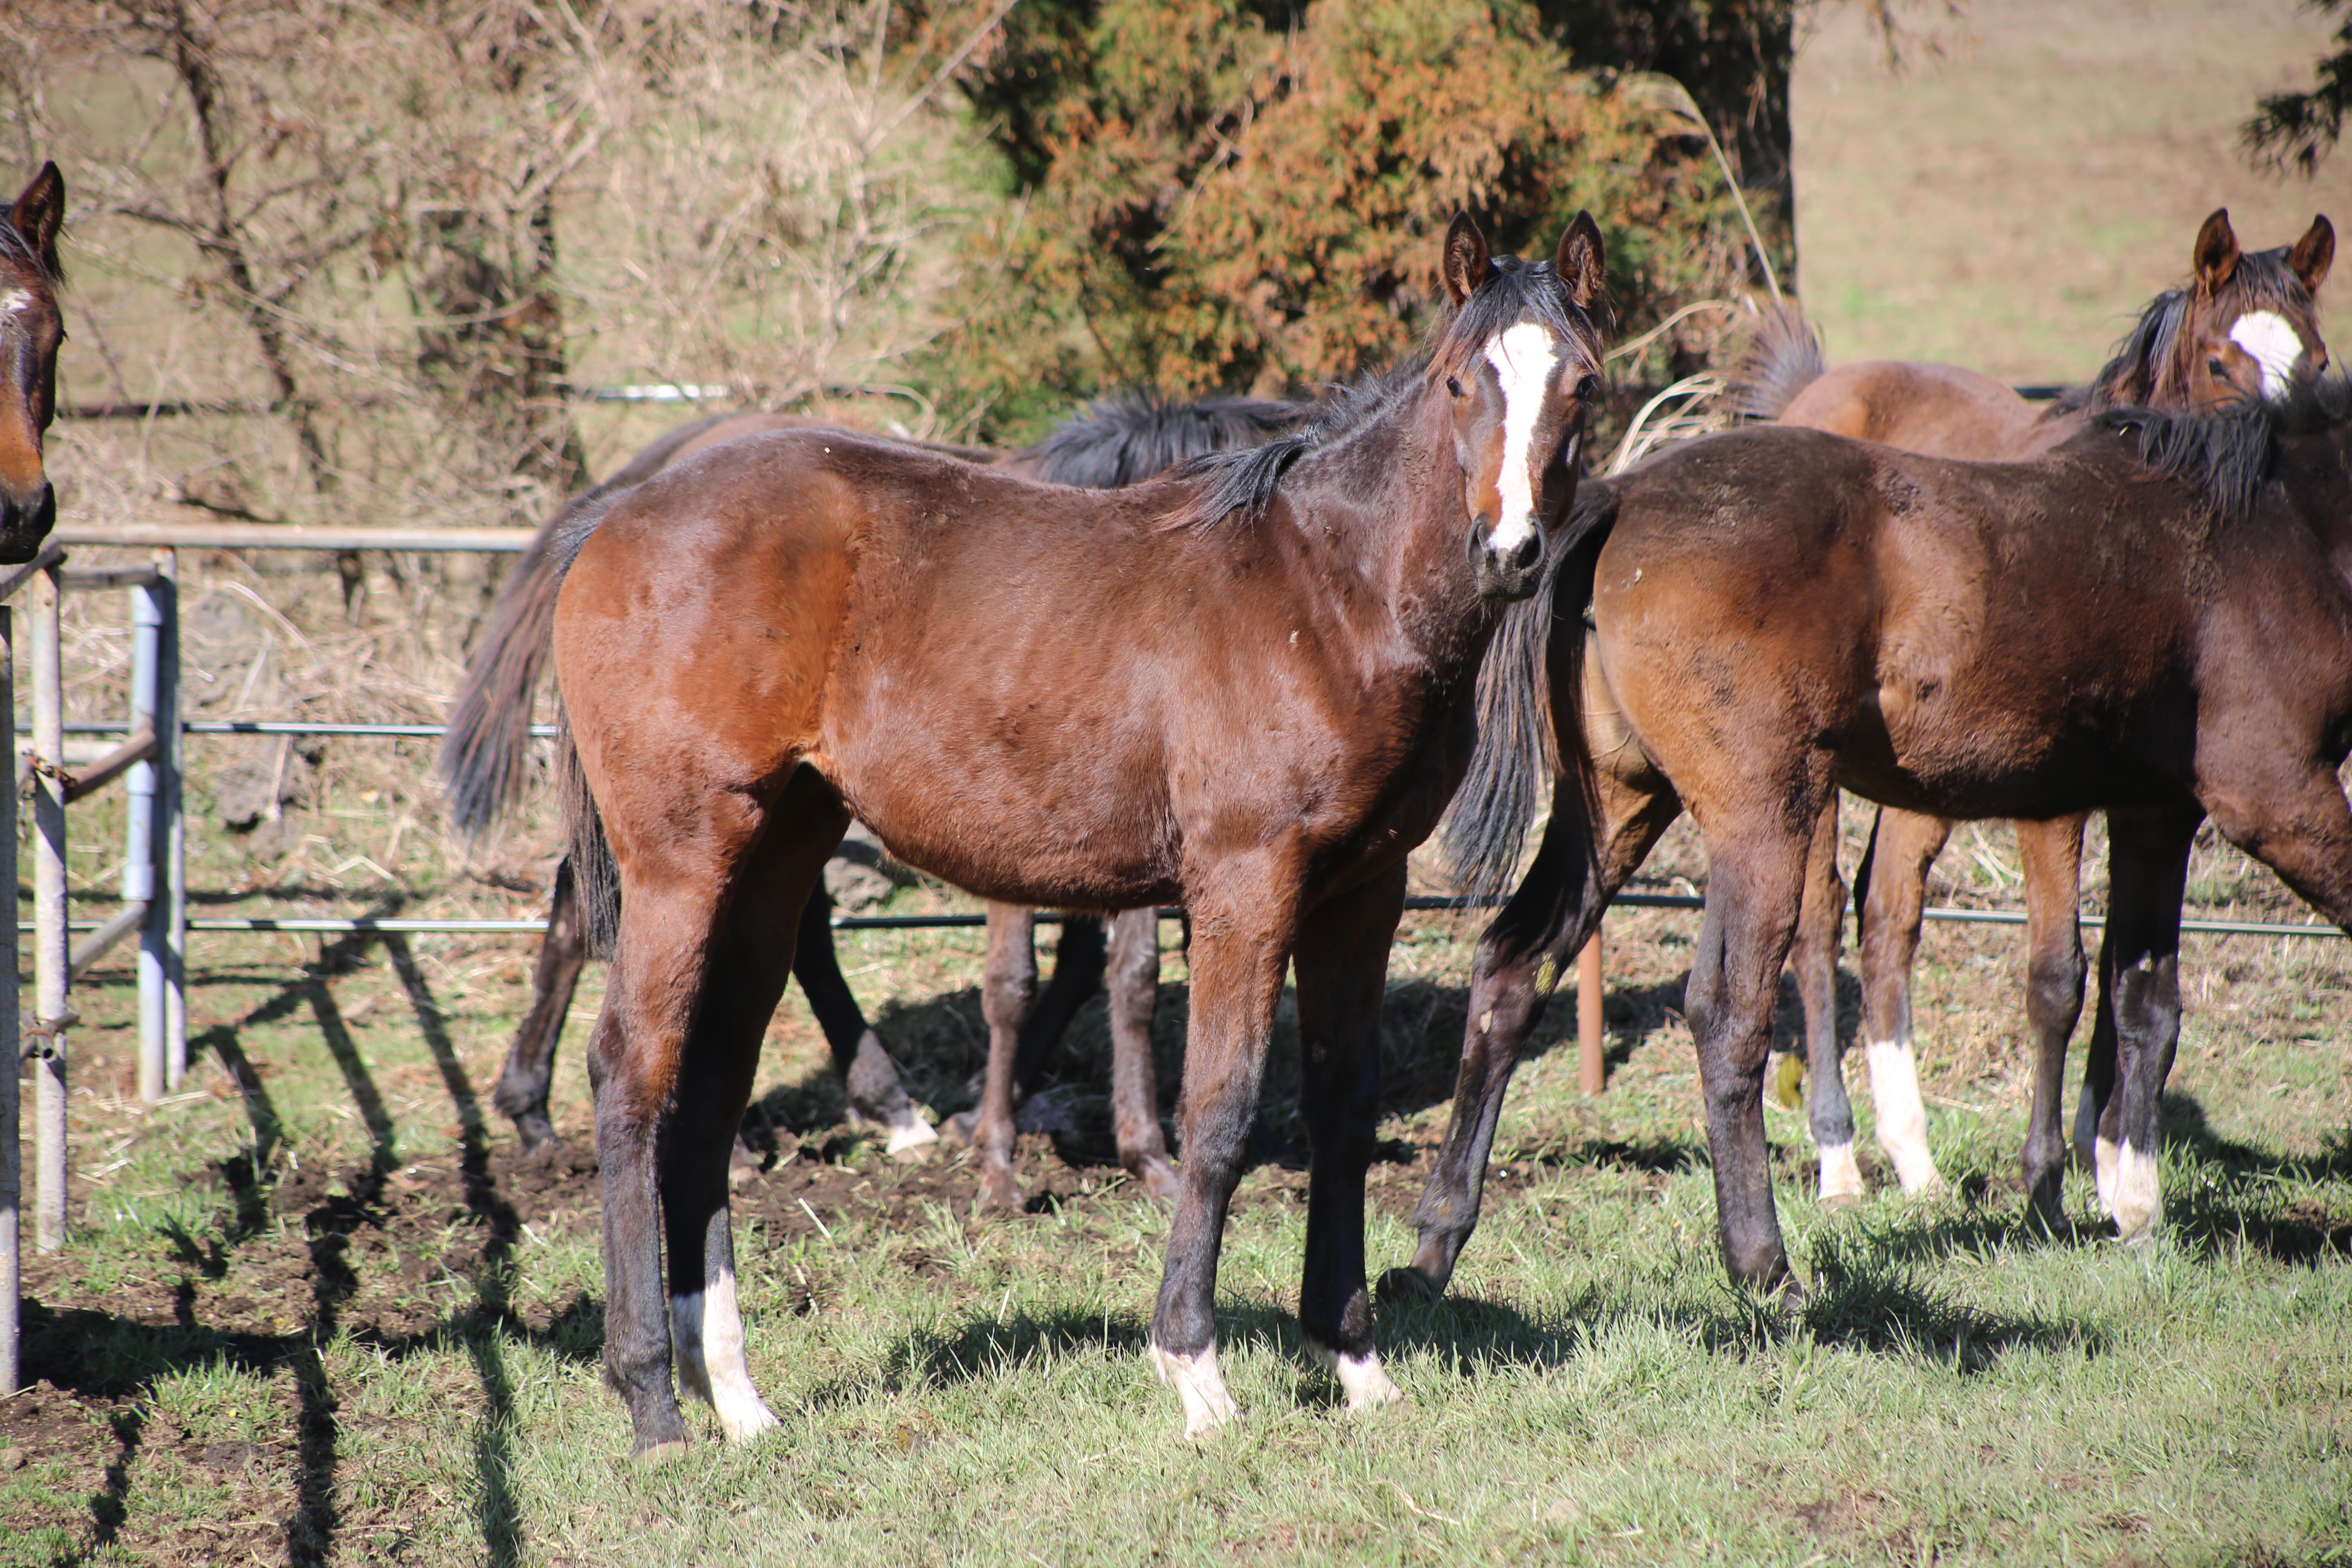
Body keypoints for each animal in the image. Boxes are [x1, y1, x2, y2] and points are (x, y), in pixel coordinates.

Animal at [543, 212, 1608, 1457]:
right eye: (1455, 381)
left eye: (1581, 383)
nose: (1511, 552)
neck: (1329, 593)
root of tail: (613, 520)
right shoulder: (1246, 884)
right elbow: (1221, 1111)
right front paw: (1194, 1369)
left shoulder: (1362, 892)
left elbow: (1342, 1109)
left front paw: (1354, 1360)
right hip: (680, 864)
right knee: (632, 1074)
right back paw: (653, 1403)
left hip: (773, 862)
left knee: (709, 1090)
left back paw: (738, 1397)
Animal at [1383, 374, 2352, 1307]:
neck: (2279, 534)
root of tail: (1619, 497)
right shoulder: (2274, 796)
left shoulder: (2156, 814)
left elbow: (2146, 1004)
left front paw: (2138, 1211)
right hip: (1762, 817)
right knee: (1728, 1011)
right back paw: (1766, 1268)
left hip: (1620, 806)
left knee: (1513, 969)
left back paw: (1433, 1250)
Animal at [1740, 208, 2323, 1213]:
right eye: (2219, 363)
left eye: (2320, 361)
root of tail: (1815, 392)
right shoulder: (2053, 809)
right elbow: (2061, 975)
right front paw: (2056, 1178)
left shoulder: (2152, 805)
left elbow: (2133, 972)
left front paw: (2109, 1161)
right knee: (1816, 925)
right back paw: (1840, 1159)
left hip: (1923, 781)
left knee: (1887, 911)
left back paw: (1916, 1160)